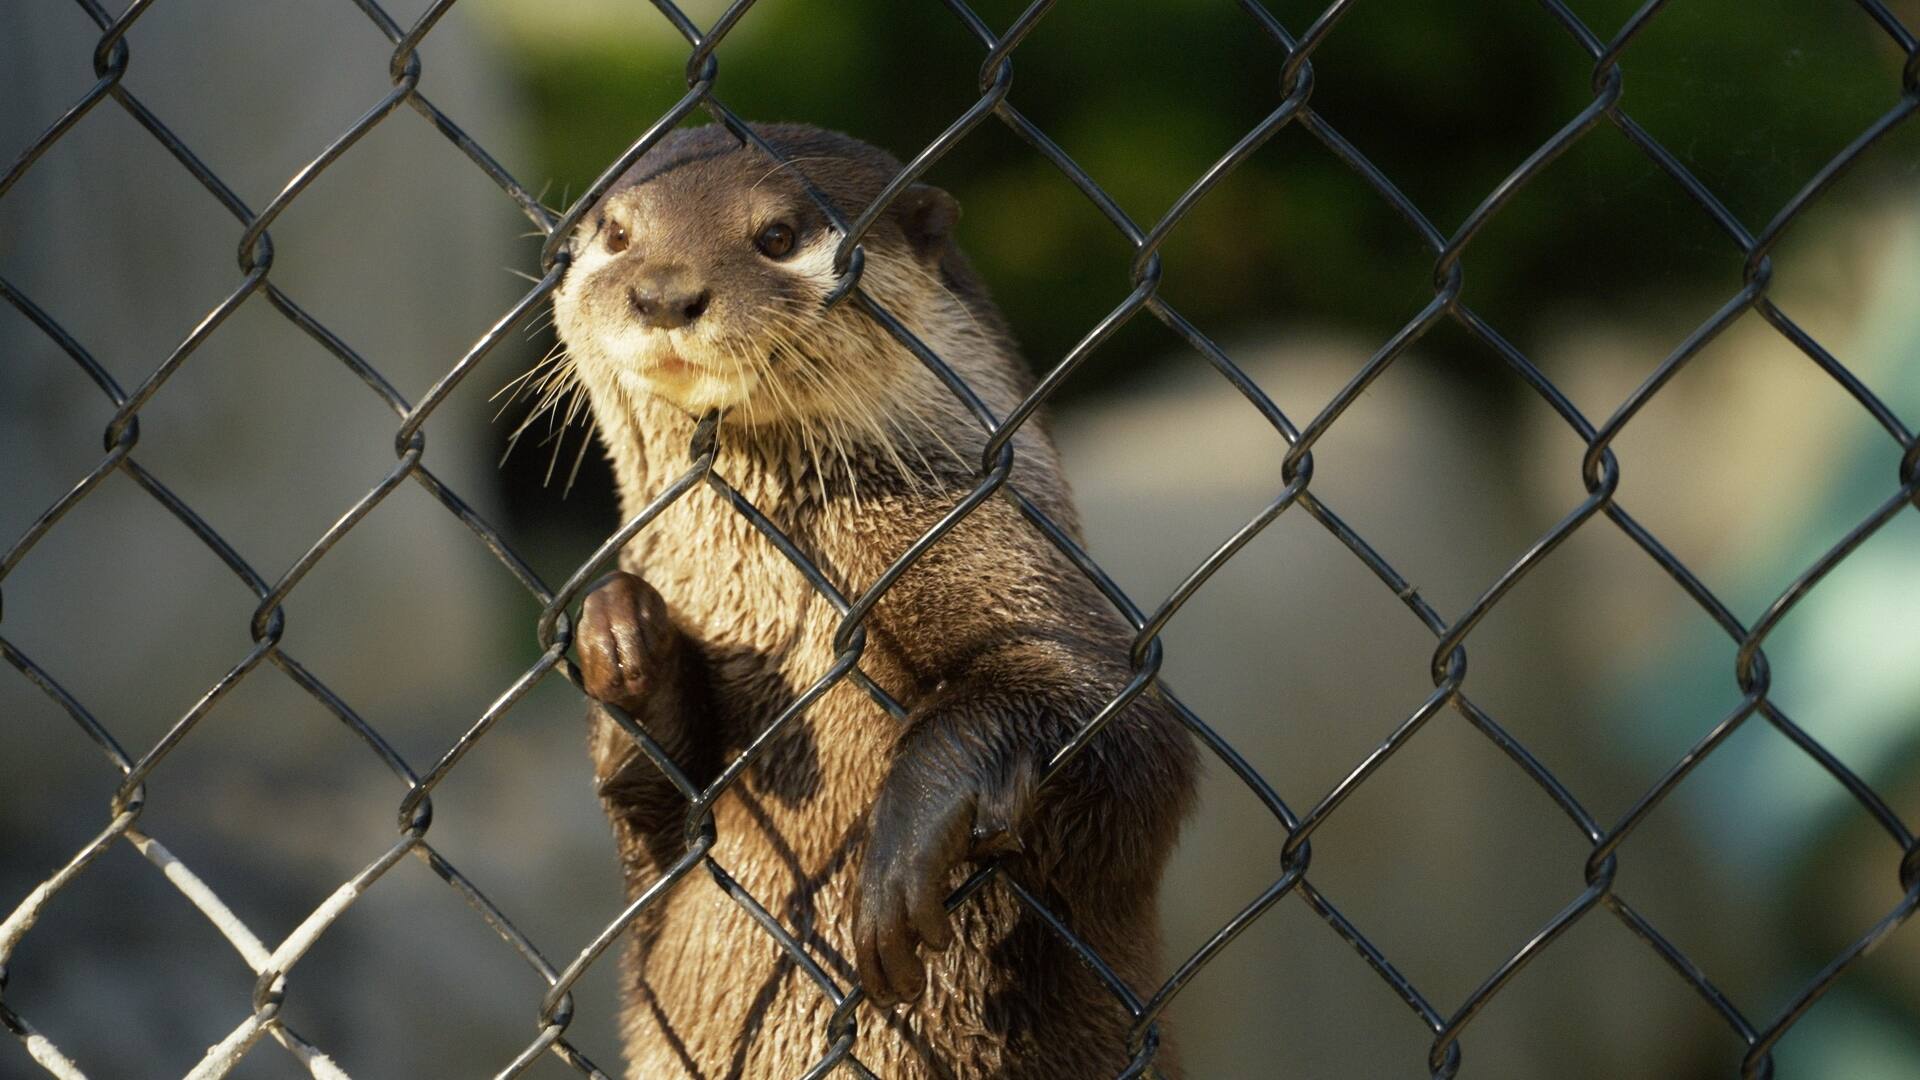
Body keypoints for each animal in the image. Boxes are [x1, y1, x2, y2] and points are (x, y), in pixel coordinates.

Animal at [549, 122, 1197, 1079]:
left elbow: (1119, 730)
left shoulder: (1007, 562)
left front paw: (906, 845)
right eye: (619, 233)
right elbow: (655, 814)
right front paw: (620, 632)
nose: (663, 293)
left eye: (777, 236)